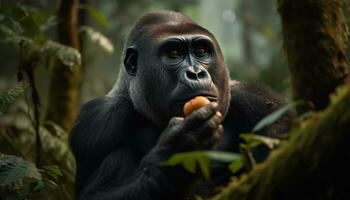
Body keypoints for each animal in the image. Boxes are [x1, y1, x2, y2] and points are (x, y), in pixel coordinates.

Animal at [69, 11, 294, 200]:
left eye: (201, 51)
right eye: (174, 53)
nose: (195, 73)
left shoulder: (259, 102)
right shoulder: (97, 122)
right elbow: (92, 195)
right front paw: (175, 156)